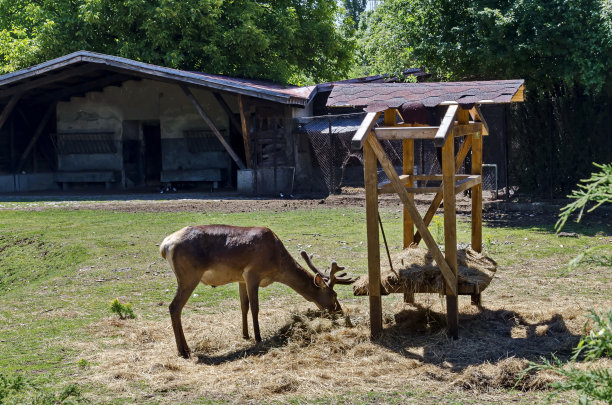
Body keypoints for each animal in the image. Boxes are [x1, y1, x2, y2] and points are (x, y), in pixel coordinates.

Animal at [159, 224, 354, 356]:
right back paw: (183, 350)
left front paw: (245, 335)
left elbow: (243, 306)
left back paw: (185, 348)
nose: (339, 311)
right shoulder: (253, 273)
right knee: (174, 307)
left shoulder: (241, 278)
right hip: (189, 276)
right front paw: (259, 337)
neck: (276, 262)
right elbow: (255, 307)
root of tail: (165, 245)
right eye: (333, 294)